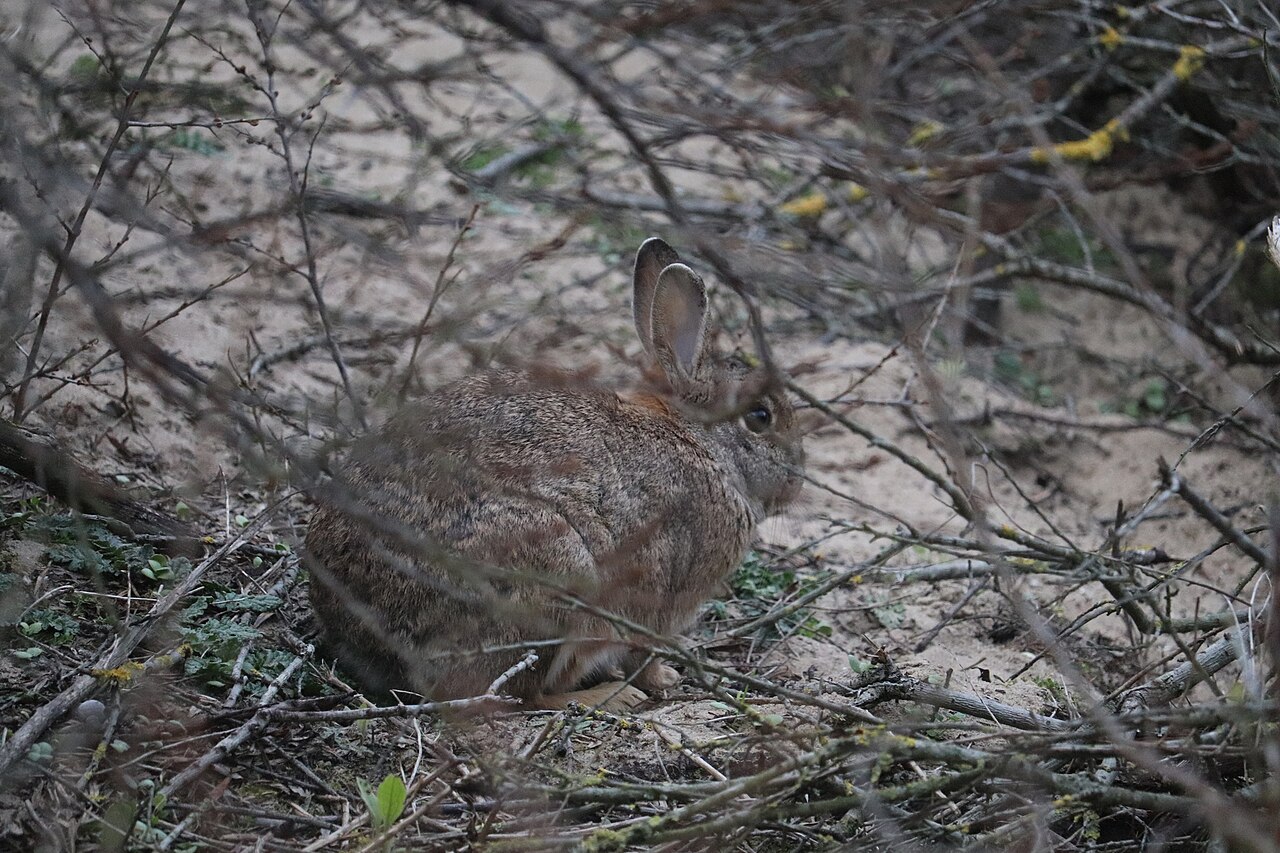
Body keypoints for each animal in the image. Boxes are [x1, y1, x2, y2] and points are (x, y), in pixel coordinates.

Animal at [304, 238, 804, 711]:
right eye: (760, 416)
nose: (797, 481)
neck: (701, 440)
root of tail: (360, 625)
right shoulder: (660, 600)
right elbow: (643, 652)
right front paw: (663, 681)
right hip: (554, 581)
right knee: (513, 695)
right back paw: (606, 697)